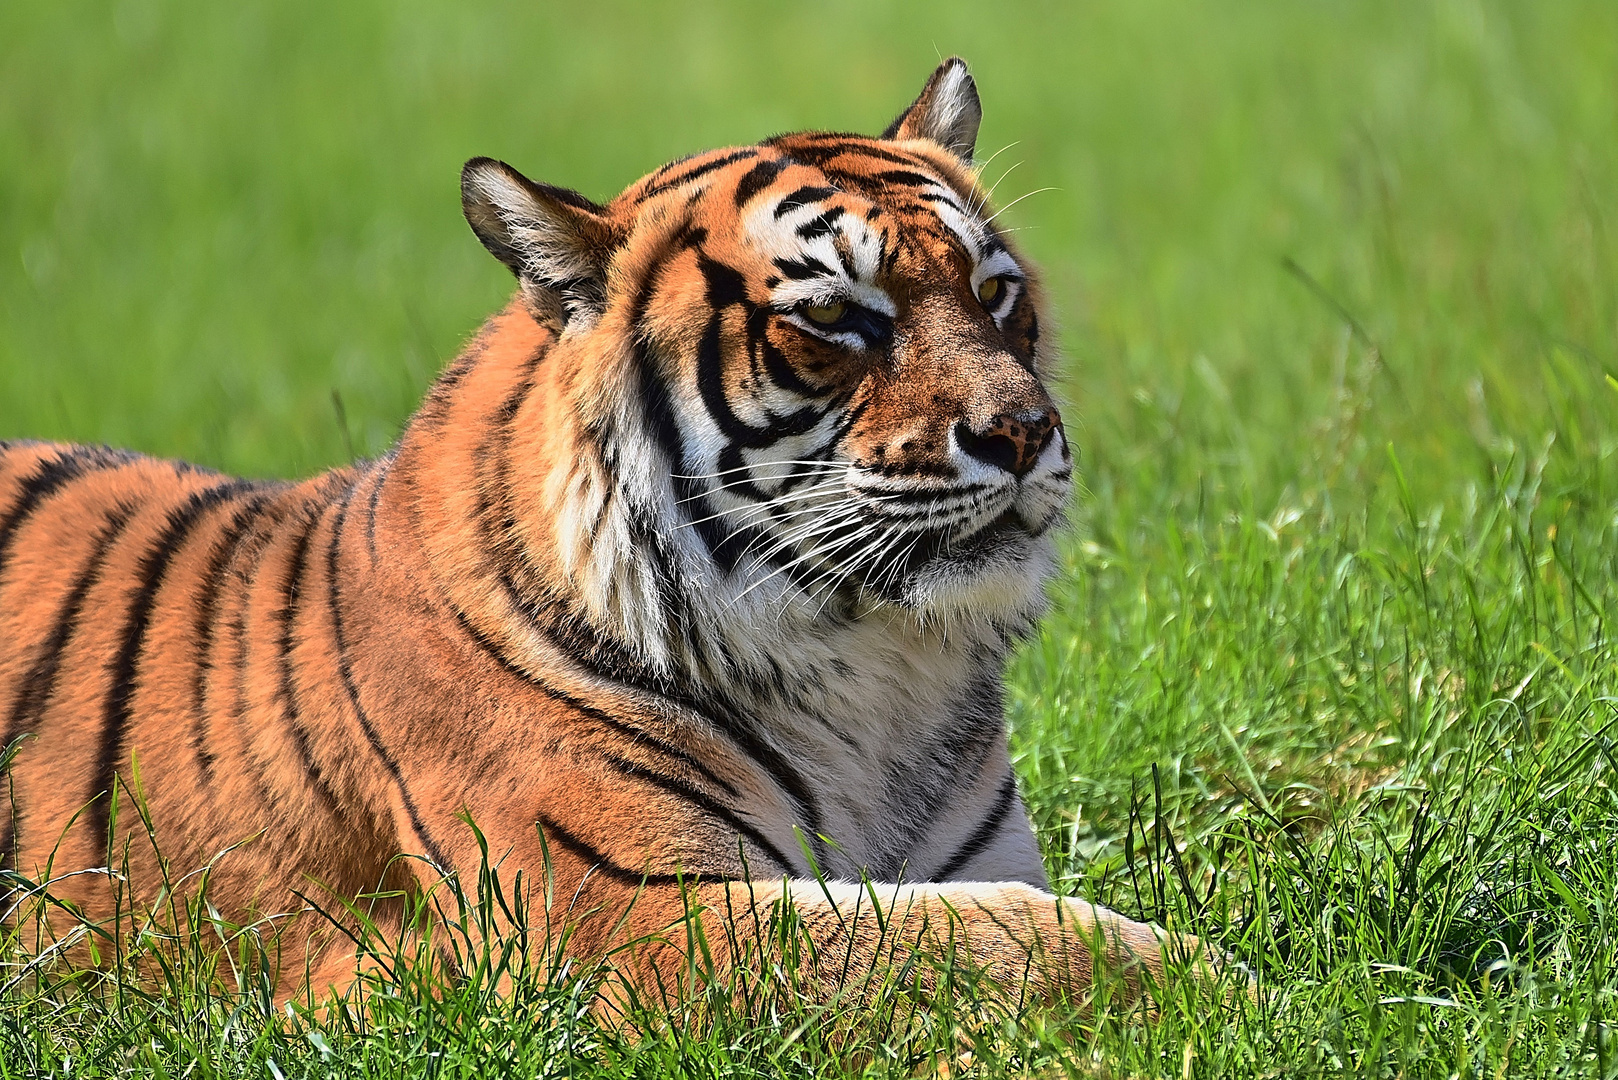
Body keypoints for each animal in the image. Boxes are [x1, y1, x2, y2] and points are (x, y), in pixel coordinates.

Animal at [0, 61, 1216, 1016]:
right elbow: (987, 940)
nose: (1022, 431)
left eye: (993, 291)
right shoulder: (628, 915)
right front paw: (1224, 981)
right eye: (833, 316)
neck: (877, 676)